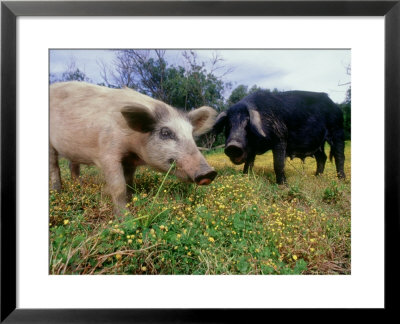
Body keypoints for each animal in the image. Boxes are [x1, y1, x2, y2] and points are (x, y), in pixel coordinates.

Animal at [214, 91, 346, 184]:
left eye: (248, 124)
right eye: (228, 125)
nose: (233, 146)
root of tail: (336, 107)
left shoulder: (280, 136)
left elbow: (278, 163)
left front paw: (283, 185)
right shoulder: (252, 148)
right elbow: (249, 163)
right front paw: (246, 178)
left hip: (337, 131)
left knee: (339, 156)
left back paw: (341, 180)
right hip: (318, 143)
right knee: (322, 157)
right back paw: (317, 177)